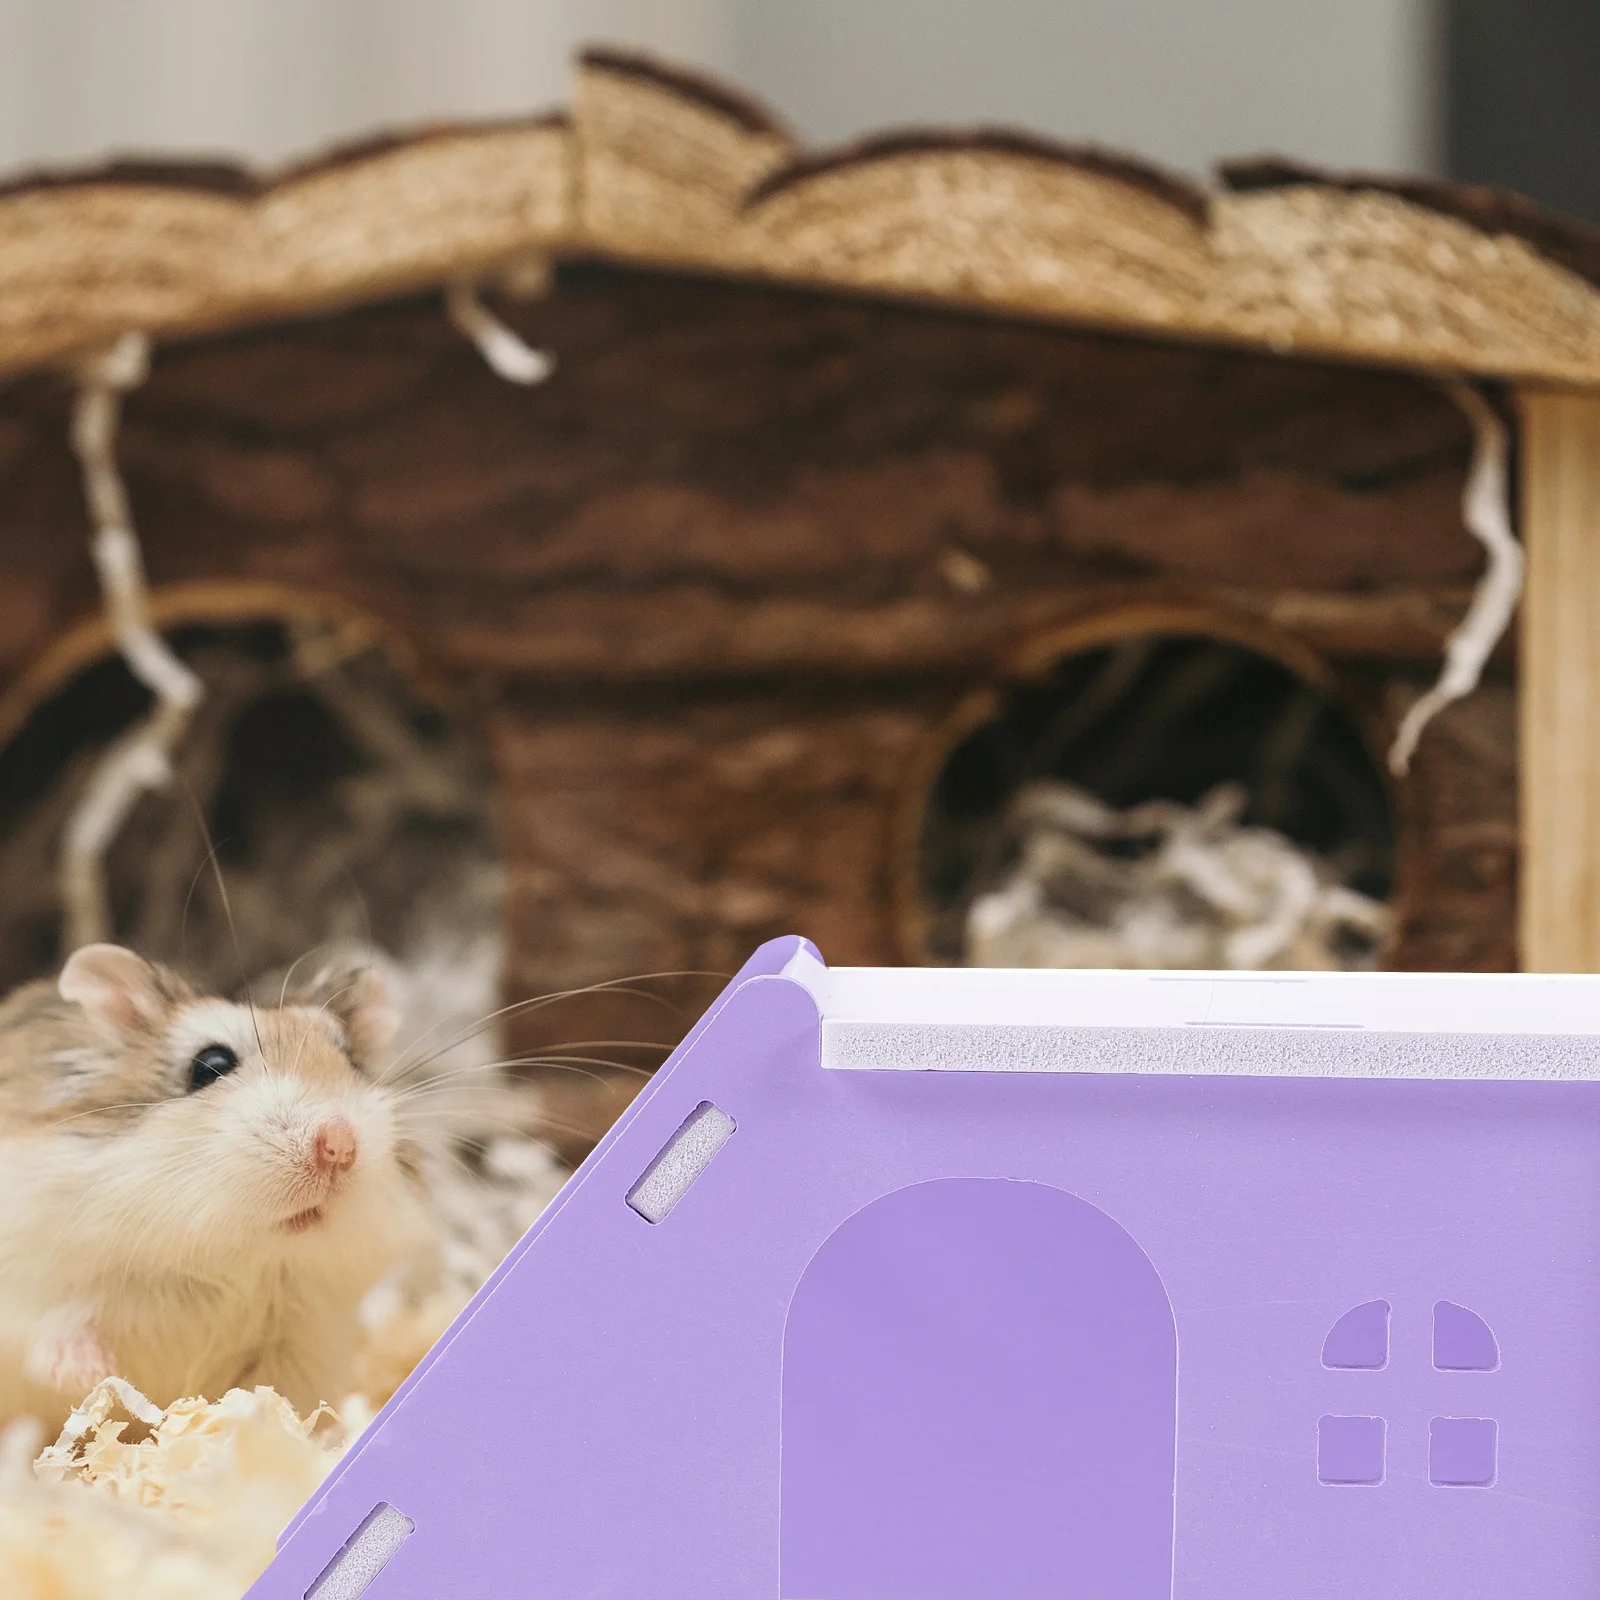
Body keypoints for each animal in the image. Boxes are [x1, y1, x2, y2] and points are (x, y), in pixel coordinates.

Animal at [0, 943, 434, 1428]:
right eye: (211, 1065)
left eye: (353, 1061)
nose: (339, 1146)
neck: (235, 1260)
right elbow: (54, 1327)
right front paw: (89, 1373)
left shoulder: (301, 1345)